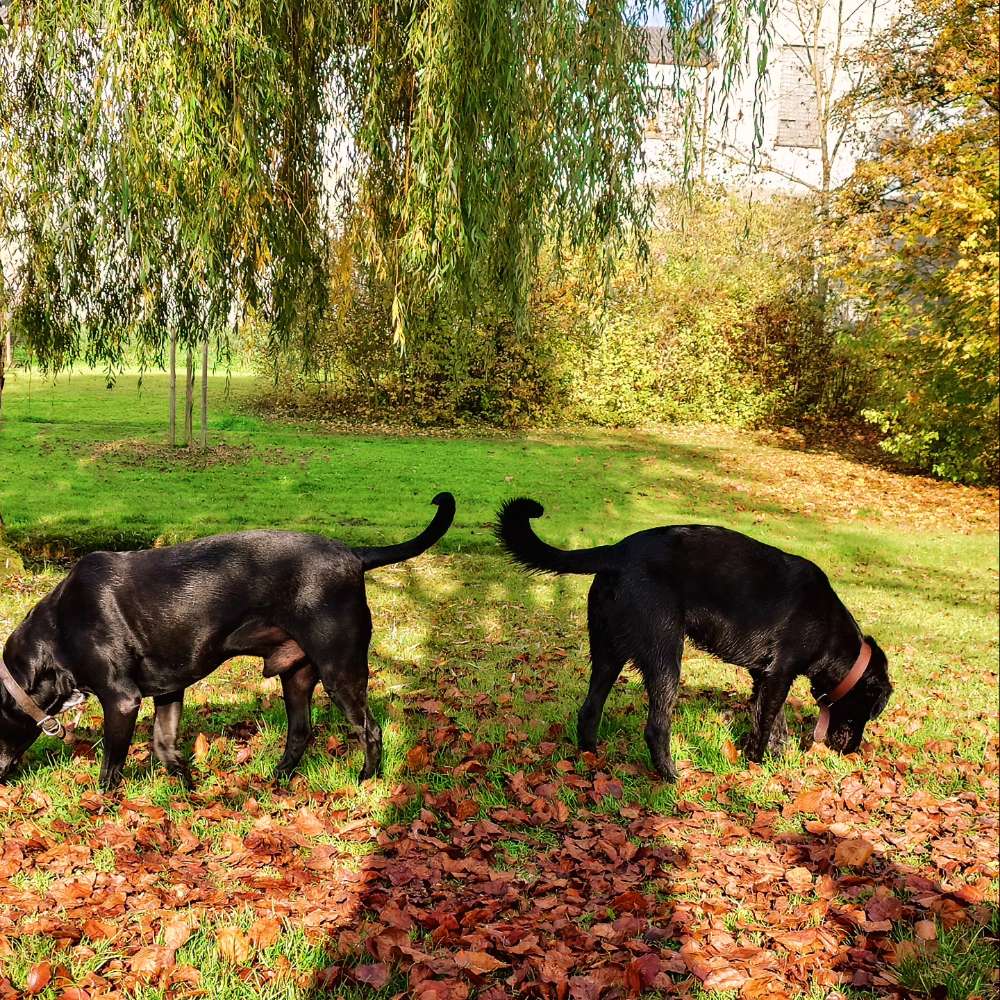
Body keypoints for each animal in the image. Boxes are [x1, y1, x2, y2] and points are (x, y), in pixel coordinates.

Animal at [1, 492, 456, 788]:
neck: (58, 632)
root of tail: (355, 554)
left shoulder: (122, 700)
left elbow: (111, 768)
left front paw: (103, 808)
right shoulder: (168, 691)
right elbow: (165, 746)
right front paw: (188, 790)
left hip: (340, 670)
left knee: (370, 729)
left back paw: (366, 779)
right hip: (297, 677)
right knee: (301, 731)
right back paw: (277, 778)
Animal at [496, 500, 896, 780]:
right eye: (868, 712)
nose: (852, 753)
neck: (830, 633)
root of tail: (616, 550)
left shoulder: (765, 676)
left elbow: (774, 722)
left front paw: (777, 759)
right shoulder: (780, 674)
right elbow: (765, 725)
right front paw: (756, 766)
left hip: (608, 654)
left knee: (589, 710)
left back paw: (591, 757)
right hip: (665, 659)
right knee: (656, 727)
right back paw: (671, 778)